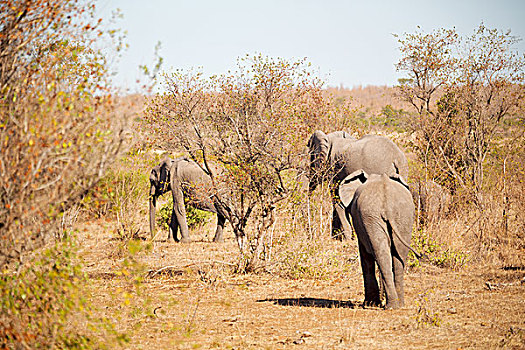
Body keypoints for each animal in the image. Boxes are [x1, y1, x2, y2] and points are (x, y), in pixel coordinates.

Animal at [338, 170, 416, 308]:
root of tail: (387, 204)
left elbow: (365, 255)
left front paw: (370, 303)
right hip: (400, 216)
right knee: (395, 256)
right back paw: (397, 305)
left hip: (376, 216)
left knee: (381, 253)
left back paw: (389, 305)